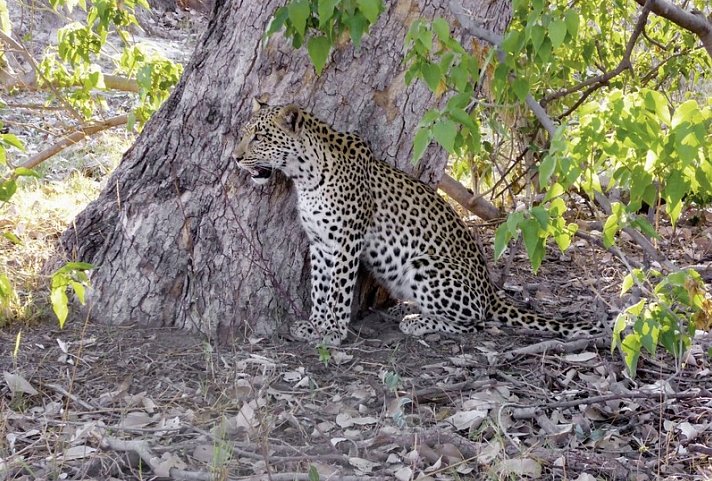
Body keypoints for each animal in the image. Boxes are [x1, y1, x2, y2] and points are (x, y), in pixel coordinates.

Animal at [235, 102, 596, 344]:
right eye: (245, 134)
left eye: (259, 137)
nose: (235, 157)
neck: (305, 175)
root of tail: (491, 292)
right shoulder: (321, 243)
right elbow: (320, 288)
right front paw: (315, 325)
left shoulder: (346, 242)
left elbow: (338, 289)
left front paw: (333, 332)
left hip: (426, 266)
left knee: (475, 321)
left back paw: (416, 321)